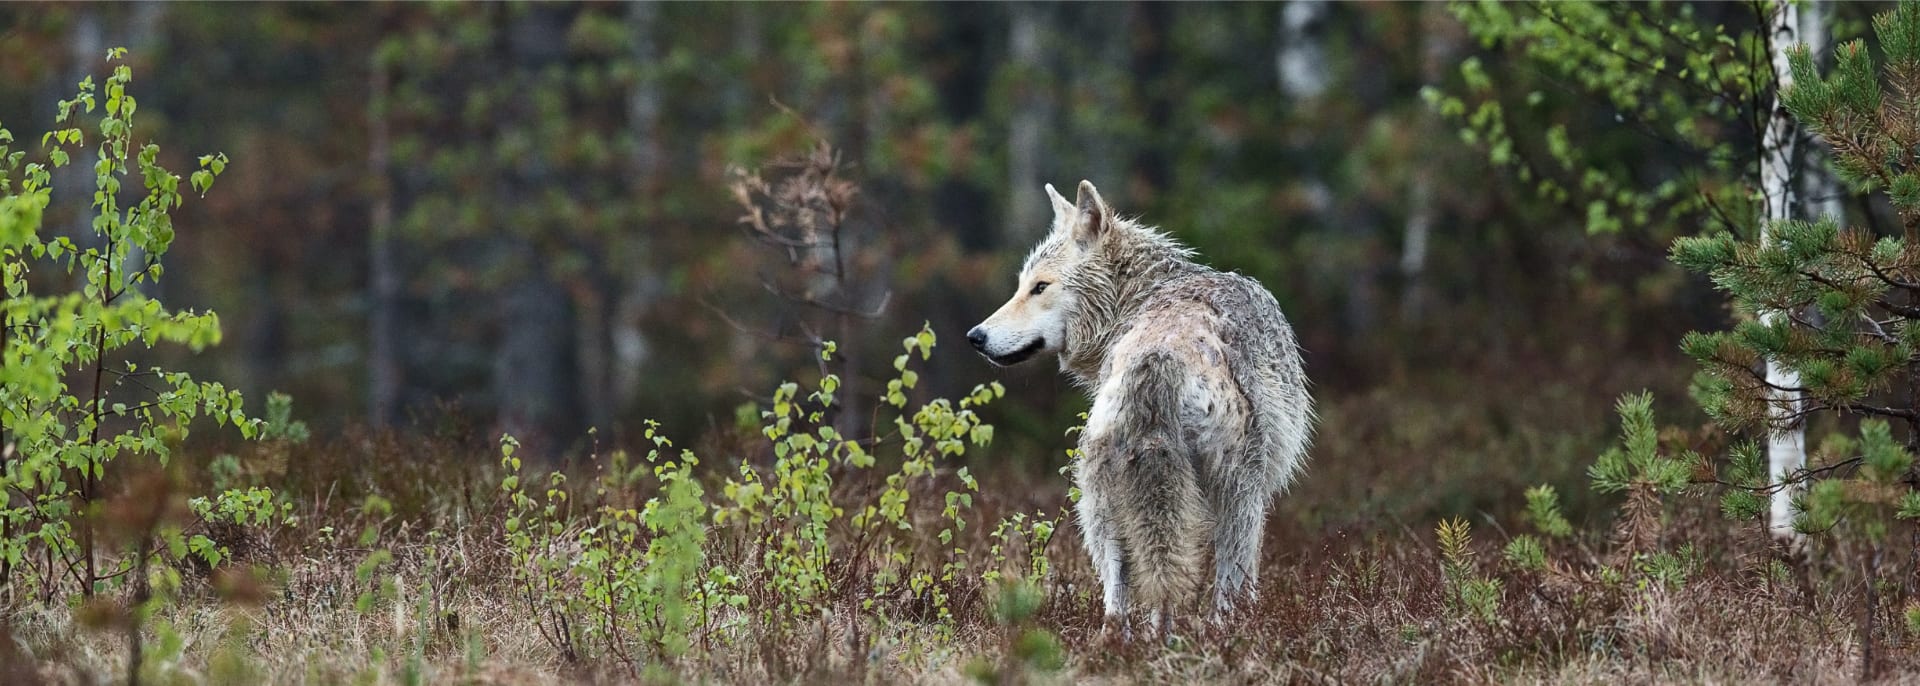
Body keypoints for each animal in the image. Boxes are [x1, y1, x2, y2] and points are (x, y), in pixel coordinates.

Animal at [967, 180, 1313, 626]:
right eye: (1024, 285)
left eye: (1039, 287)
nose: (975, 336)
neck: (1140, 294)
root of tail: (1158, 356)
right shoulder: (1256, 494)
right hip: (1237, 495)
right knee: (1221, 588)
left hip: (1101, 502)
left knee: (1120, 596)